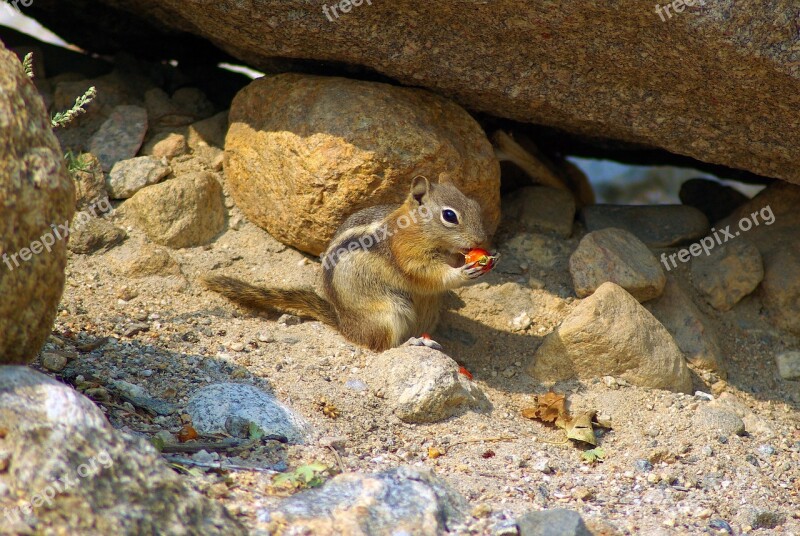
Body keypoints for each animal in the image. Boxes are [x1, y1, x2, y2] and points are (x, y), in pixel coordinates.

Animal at [202, 176, 494, 352]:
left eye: (475, 205)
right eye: (449, 216)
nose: (482, 239)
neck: (415, 228)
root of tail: (346, 326)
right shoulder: (406, 255)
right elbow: (428, 274)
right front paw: (464, 272)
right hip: (388, 314)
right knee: (382, 346)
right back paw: (412, 344)